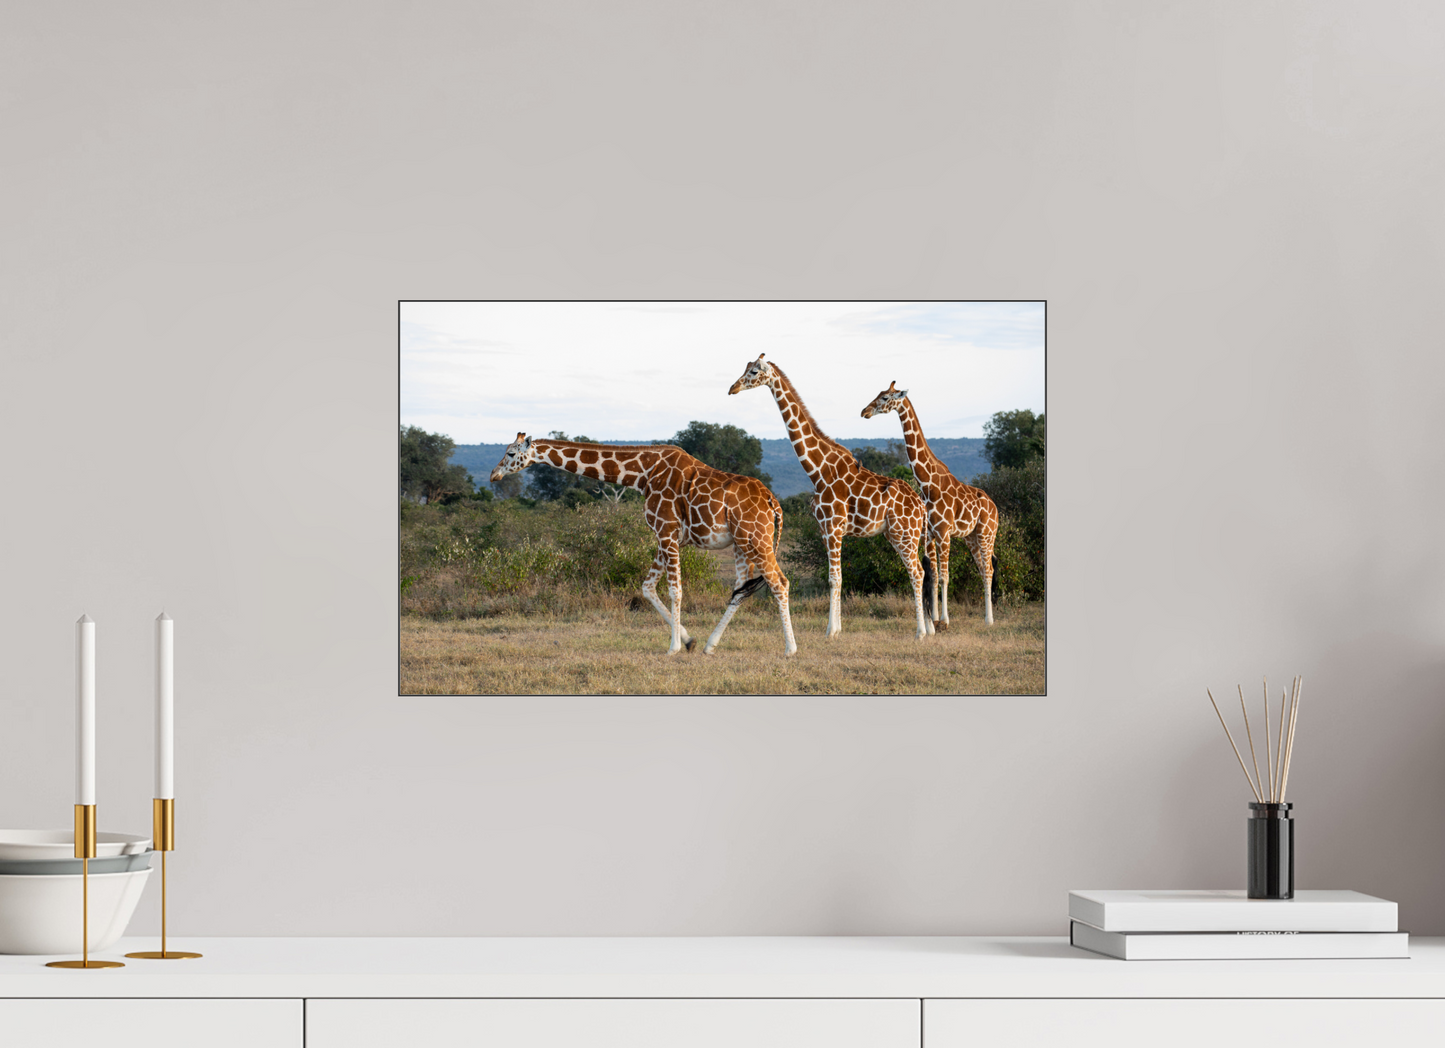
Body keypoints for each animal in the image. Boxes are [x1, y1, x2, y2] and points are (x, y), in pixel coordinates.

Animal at [490, 434, 798, 656]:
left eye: (511, 453)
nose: (494, 475)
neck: (642, 473)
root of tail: (773, 501)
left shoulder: (666, 531)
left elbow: (675, 590)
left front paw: (673, 648)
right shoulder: (666, 537)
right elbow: (647, 587)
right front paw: (689, 641)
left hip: (755, 538)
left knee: (779, 582)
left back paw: (790, 649)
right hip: (740, 542)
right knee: (741, 589)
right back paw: (711, 646)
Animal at [727, 355, 934, 641]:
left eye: (754, 371)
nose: (732, 388)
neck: (818, 470)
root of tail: (921, 506)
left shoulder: (833, 526)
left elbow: (834, 578)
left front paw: (830, 631)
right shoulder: (826, 529)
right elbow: (837, 577)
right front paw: (837, 628)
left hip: (905, 534)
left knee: (917, 572)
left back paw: (920, 633)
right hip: (899, 535)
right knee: (921, 571)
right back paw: (928, 629)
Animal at [861, 381, 1000, 627]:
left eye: (885, 397)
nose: (864, 412)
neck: (927, 484)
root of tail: (995, 508)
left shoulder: (944, 532)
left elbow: (944, 576)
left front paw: (944, 620)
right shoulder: (929, 534)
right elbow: (933, 575)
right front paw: (934, 619)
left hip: (987, 533)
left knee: (989, 569)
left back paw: (989, 620)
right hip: (972, 537)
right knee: (983, 569)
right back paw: (986, 617)